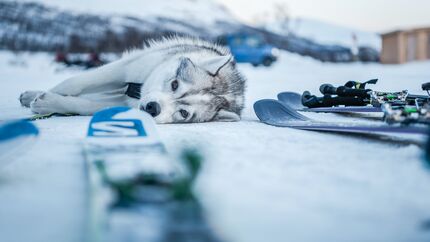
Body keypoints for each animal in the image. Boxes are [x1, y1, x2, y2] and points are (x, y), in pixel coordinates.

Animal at [18, 37, 245, 123]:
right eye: (174, 84)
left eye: (183, 113)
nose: (153, 108)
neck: (138, 93)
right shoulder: (125, 68)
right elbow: (76, 82)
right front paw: (50, 94)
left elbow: (84, 105)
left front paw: (50, 103)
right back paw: (30, 95)